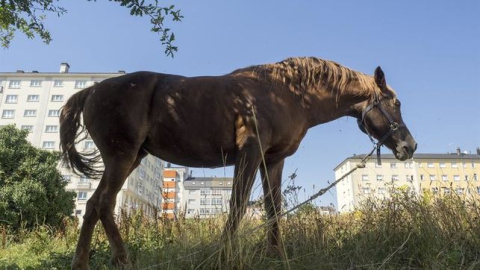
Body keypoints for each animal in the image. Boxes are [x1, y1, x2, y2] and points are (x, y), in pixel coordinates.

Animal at [59, 56, 416, 268]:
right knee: (104, 203)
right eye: (396, 103)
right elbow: (238, 206)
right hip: (121, 157)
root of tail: (91, 90)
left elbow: (273, 207)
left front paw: (276, 256)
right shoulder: (250, 154)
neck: (288, 93)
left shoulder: (272, 160)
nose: (410, 146)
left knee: (93, 205)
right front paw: (224, 256)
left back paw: (83, 262)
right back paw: (121, 259)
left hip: (130, 159)